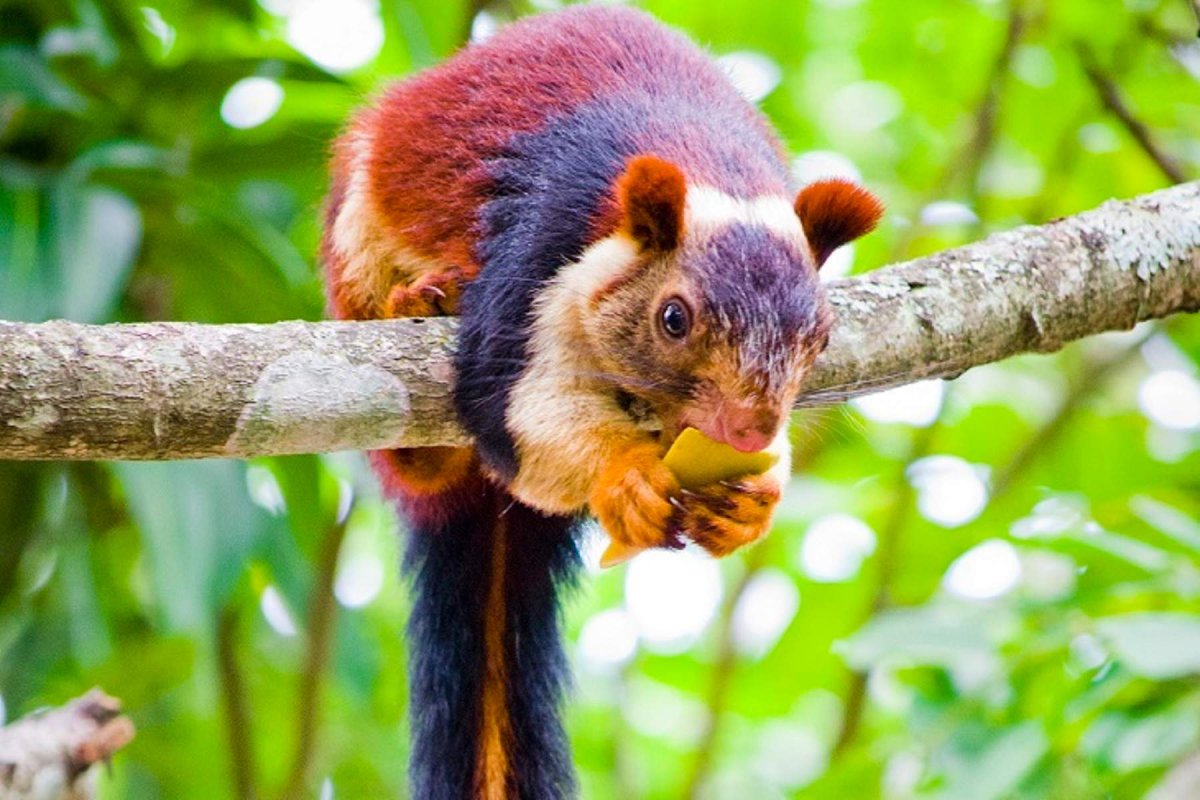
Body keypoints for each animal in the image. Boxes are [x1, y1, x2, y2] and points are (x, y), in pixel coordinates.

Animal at [322, 6, 882, 799]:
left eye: (821, 336)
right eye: (673, 318)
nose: (747, 429)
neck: (714, 166)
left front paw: (752, 503)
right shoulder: (537, 255)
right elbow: (514, 409)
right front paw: (624, 478)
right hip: (358, 235)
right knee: (412, 448)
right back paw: (417, 330)